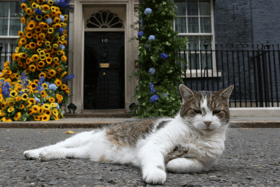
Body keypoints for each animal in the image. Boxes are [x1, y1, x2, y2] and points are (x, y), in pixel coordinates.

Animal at [23, 84, 234, 184]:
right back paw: (34, 152)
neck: (197, 136)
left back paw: (46, 155)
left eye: (216, 112)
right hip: (81, 136)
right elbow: (156, 160)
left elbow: (183, 164)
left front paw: (174, 161)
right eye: (197, 111)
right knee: (57, 145)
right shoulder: (155, 144)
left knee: (65, 152)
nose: (208, 122)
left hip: (82, 151)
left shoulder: (205, 163)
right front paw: (156, 173)